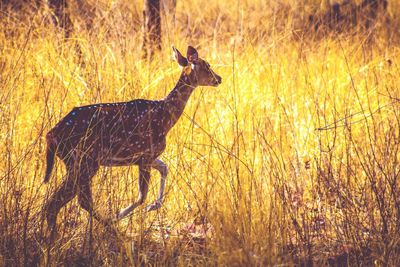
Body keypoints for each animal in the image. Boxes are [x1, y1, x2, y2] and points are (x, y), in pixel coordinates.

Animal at [43, 46, 222, 234]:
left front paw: (153, 205)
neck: (165, 117)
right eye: (207, 65)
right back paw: (109, 226)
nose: (219, 78)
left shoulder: (144, 156)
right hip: (84, 160)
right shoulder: (146, 153)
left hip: (76, 161)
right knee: (73, 200)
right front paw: (121, 213)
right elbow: (142, 195)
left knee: (59, 202)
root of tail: (51, 135)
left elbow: (164, 169)